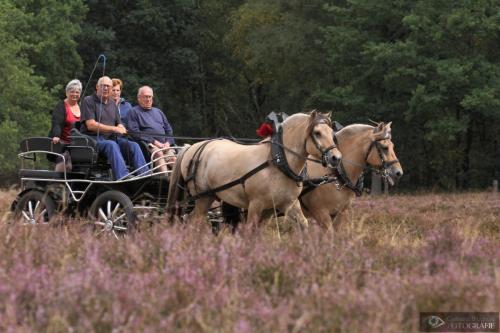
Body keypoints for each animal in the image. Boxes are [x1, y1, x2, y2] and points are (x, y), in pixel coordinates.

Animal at [167, 111, 340, 226]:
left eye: (332, 132)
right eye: (317, 133)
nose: (336, 158)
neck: (278, 163)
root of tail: (191, 147)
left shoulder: (288, 204)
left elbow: (303, 225)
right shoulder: (256, 205)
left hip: (209, 197)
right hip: (202, 197)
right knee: (193, 221)